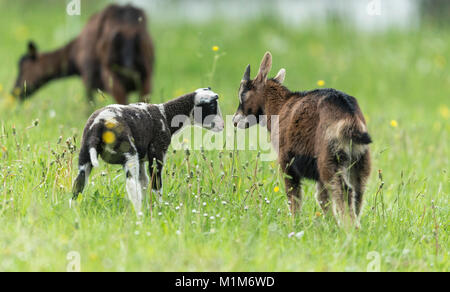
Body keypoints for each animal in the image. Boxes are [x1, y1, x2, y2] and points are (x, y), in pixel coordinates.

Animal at [72, 88, 225, 214]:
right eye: (212, 106)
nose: (223, 126)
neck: (166, 115)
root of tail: (99, 124)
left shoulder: (142, 160)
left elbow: (144, 183)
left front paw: (149, 205)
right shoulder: (157, 153)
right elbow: (156, 184)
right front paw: (159, 207)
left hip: (84, 156)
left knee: (78, 185)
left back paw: (73, 212)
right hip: (129, 155)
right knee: (132, 186)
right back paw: (139, 214)